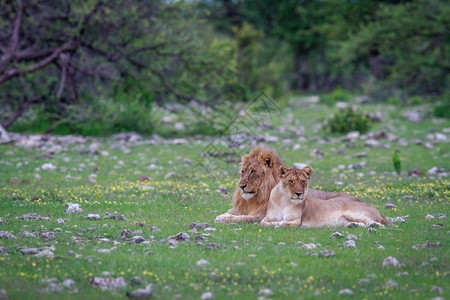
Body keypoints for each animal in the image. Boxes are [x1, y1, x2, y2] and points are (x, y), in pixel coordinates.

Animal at [214, 145, 342, 223]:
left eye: (253, 171)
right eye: (243, 171)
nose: (241, 186)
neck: (254, 199)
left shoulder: (262, 216)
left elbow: (241, 218)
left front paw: (223, 218)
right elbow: (233, 213)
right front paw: (223, 215)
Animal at [260, 164, 390, 227]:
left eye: (303, 181)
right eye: (291, 181)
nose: (299, 194)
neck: (284, 201)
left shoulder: (297, 221)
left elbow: (285, 223)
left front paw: (279, 223)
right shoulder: (266, 219)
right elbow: (264, 223)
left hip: (353, 212)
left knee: (374, 222)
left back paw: (374, 225)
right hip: (344, 221)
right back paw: (352, 225)